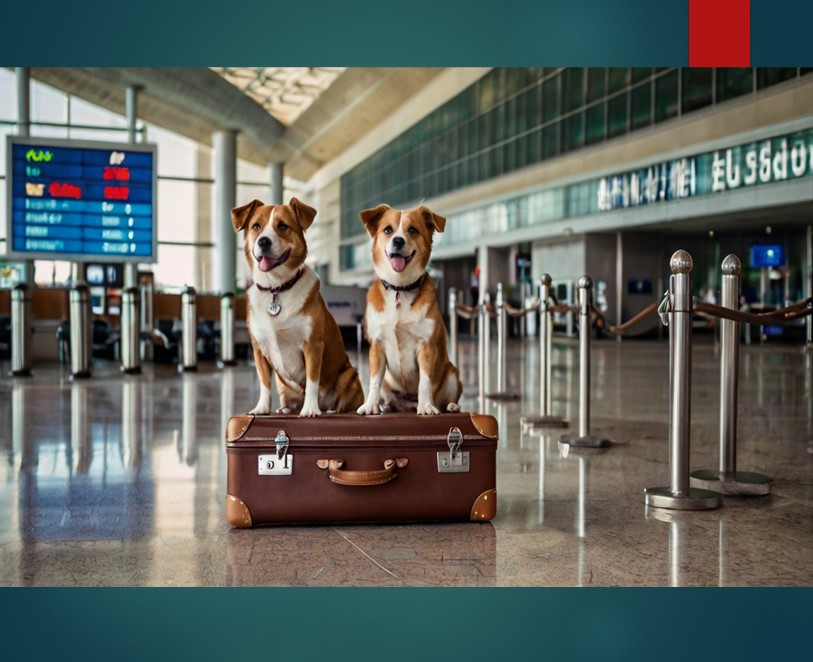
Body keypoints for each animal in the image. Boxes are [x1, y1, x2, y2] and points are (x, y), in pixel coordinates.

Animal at [232, 197, 364, 418]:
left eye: (283, 226)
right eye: (256, 226)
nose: (263, 241)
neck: (276, 288)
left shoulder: (312, 345)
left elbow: (312, 381)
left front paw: (310, 409)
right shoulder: (259, 349)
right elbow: (264, 382)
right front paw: (262, 408)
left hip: (350, 374)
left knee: (345, 402)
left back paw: (332, 409)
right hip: (283, 384)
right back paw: (285, 408)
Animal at [356, 205, 464, 418]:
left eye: (412, 230)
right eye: (388, 230)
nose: (398, 240)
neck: (400, 289)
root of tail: (407, 406)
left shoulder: (426, 345)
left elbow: (425, 381)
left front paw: (426, 406)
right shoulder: (377, 346)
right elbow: (374, 381)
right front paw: (370, 405)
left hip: (452, 374)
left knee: (447, 399)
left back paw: (450, 406)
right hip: (388, 383)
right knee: (388, 395)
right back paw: (388, 406)